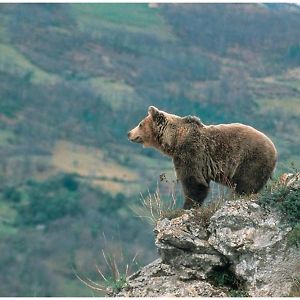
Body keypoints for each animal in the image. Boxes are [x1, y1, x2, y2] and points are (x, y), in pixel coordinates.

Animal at [127, 106, 278, 209]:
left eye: (140, 124)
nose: (129, 133)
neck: (174, 140)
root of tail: (274, 150)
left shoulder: (191, 153)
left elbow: (193, 181)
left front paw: (187, 206)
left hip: (251, 160)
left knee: (246, 184)